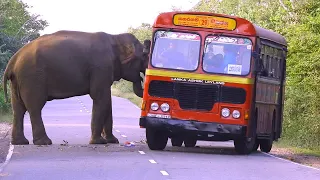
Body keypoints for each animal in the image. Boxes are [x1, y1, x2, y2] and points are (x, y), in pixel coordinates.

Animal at [2, 30, 151, 146]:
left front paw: (112, 141)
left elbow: (107, 101)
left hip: (18, 81)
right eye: (144, 55)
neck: (114, 37)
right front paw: (99, 142)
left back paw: (20, 142)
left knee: (18, 109)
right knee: (34, 107)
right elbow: (100, 98)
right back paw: (44, 142)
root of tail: (13, 61)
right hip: (32, 78)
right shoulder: (101, 67)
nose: (142, 78)